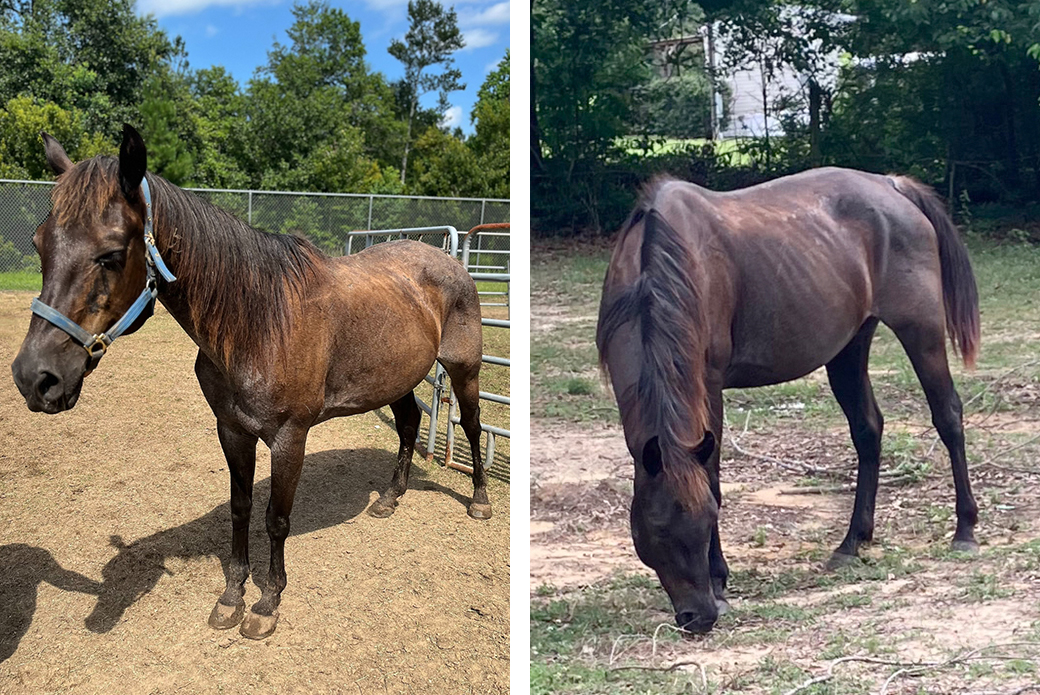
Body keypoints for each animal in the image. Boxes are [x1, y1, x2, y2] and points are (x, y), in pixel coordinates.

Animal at [11, 126, 490, 640]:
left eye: (112, 254)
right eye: (39, 245)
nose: (35, 378)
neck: (258, 323)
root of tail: (448, 261)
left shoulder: (289, 438)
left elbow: (276, 519)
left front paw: (267, 603)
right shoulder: (233, 430)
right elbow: (240, 508)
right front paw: (231, 596)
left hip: (464, 370)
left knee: (471, 425)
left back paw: (479, 500)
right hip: (395, 378)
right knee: (407, 424)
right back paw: (389, 498)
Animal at [599, 168, 977, 636]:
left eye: (706, 524)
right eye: (659, 531)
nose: (699, 616)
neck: (657, 268)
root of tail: (891, 185)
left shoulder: (710, 382)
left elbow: (713, 478)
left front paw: (721, 582)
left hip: (921, 331)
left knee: (948, 416)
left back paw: (965, 529)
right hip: (850, 346)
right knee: (868, 431)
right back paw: (852, 542)